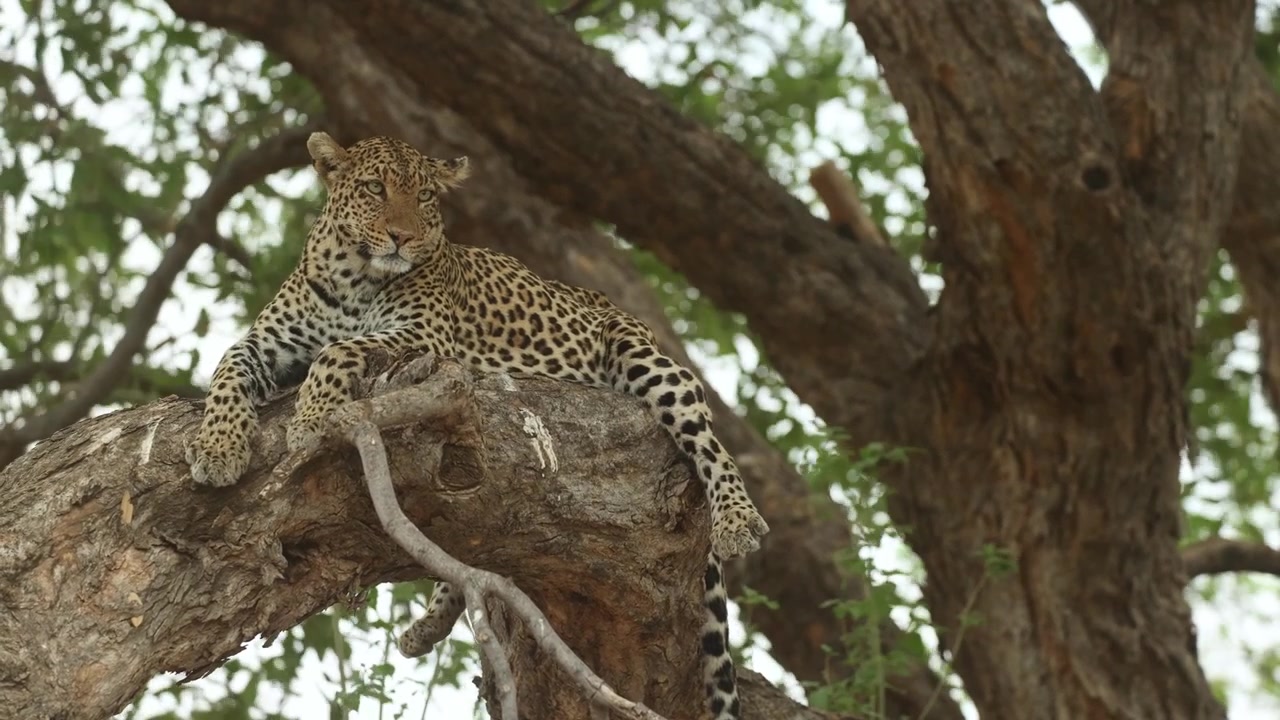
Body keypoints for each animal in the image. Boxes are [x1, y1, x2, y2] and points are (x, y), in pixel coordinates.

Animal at [184, 131, 770, 720]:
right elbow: (227, 368)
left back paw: (737, 518)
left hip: (642, 357)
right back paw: (428, 624)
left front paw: (309, 417)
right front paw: (218, 448)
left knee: (706, 435)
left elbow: (337, 349)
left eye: (423, 196)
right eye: (375, 188)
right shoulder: (268, 342)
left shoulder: (422, 339)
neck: (353, 277)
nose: (402, 237)